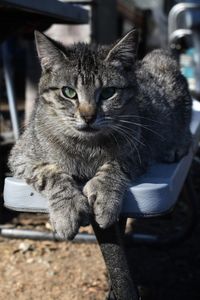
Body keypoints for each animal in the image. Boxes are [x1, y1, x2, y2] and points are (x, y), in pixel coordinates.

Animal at [9, 29, 192, 240]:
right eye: (68, 92)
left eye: (108, 92)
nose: (88, 116)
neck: (86, 146)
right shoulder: (21, 157)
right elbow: (51, 173)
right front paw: (67, 209)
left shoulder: (139, 152)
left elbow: (115, 165)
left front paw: (104, 195)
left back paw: (175, 146)